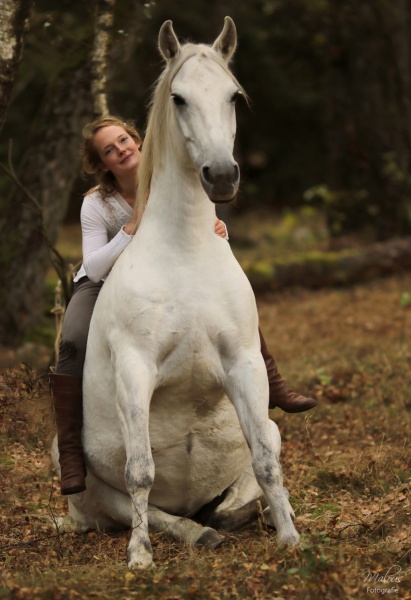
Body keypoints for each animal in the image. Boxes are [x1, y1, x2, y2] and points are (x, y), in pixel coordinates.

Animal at [53, 16, 300, 568]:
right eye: (179, 98)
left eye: (234, 96)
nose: (222, 175)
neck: (185, 252)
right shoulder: (134, 369)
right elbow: (140, 471)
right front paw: (140, 556)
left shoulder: (244, 363)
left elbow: (265, 459)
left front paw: (292, 538)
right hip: (83, 486)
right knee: (146, 506)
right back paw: (197, 532)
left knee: (239, 486)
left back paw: (243, 515)